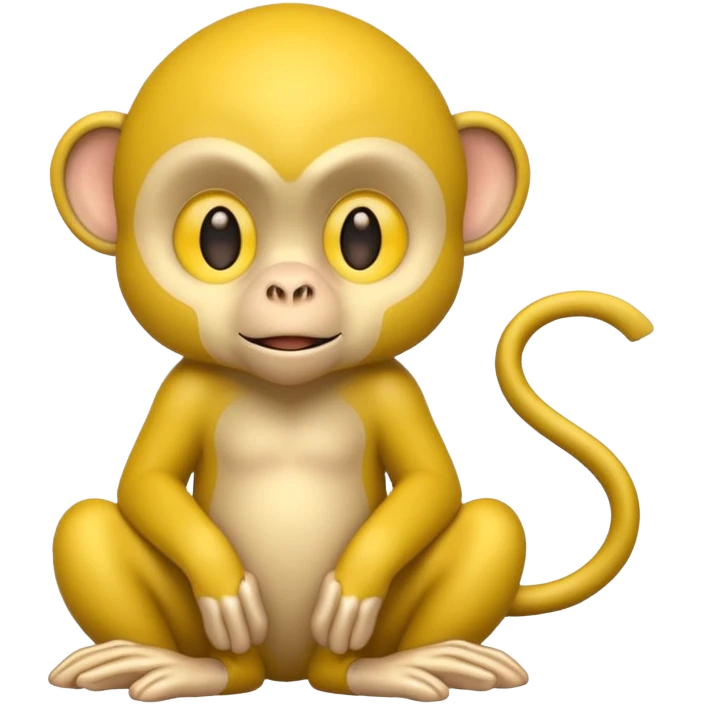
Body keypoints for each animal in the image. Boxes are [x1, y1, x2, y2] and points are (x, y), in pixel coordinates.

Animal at [46, 4, 654, 703]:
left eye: (362, 236)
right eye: (218, 236)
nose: (289, 287)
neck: (289, 390)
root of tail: (286, 672)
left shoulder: (392, 388)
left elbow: (431, 483)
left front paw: (355, 586)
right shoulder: (186, 387)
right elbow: (147, 482)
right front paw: (222, 583)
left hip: (364, 635)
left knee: (490, 529)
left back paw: (400, 666)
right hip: (220, 639)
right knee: (88, 528)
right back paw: (175, 666)